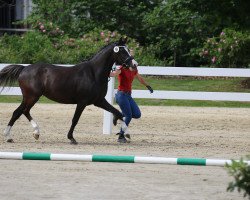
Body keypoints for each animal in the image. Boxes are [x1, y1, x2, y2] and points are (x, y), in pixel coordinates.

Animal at [0, 37, 137, 144]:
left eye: (128, 50)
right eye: (122, 51)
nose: (134, 64)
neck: (93, 73)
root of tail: (24, 69)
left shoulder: (99, 101)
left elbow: (118, 113)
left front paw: (126, 133)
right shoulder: (82, 102)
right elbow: (75, 119)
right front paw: (71, 138)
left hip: (30, 97)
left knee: (23, 111)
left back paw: (33, 133)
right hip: (31, 97)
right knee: (19, 112)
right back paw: (9, 136)